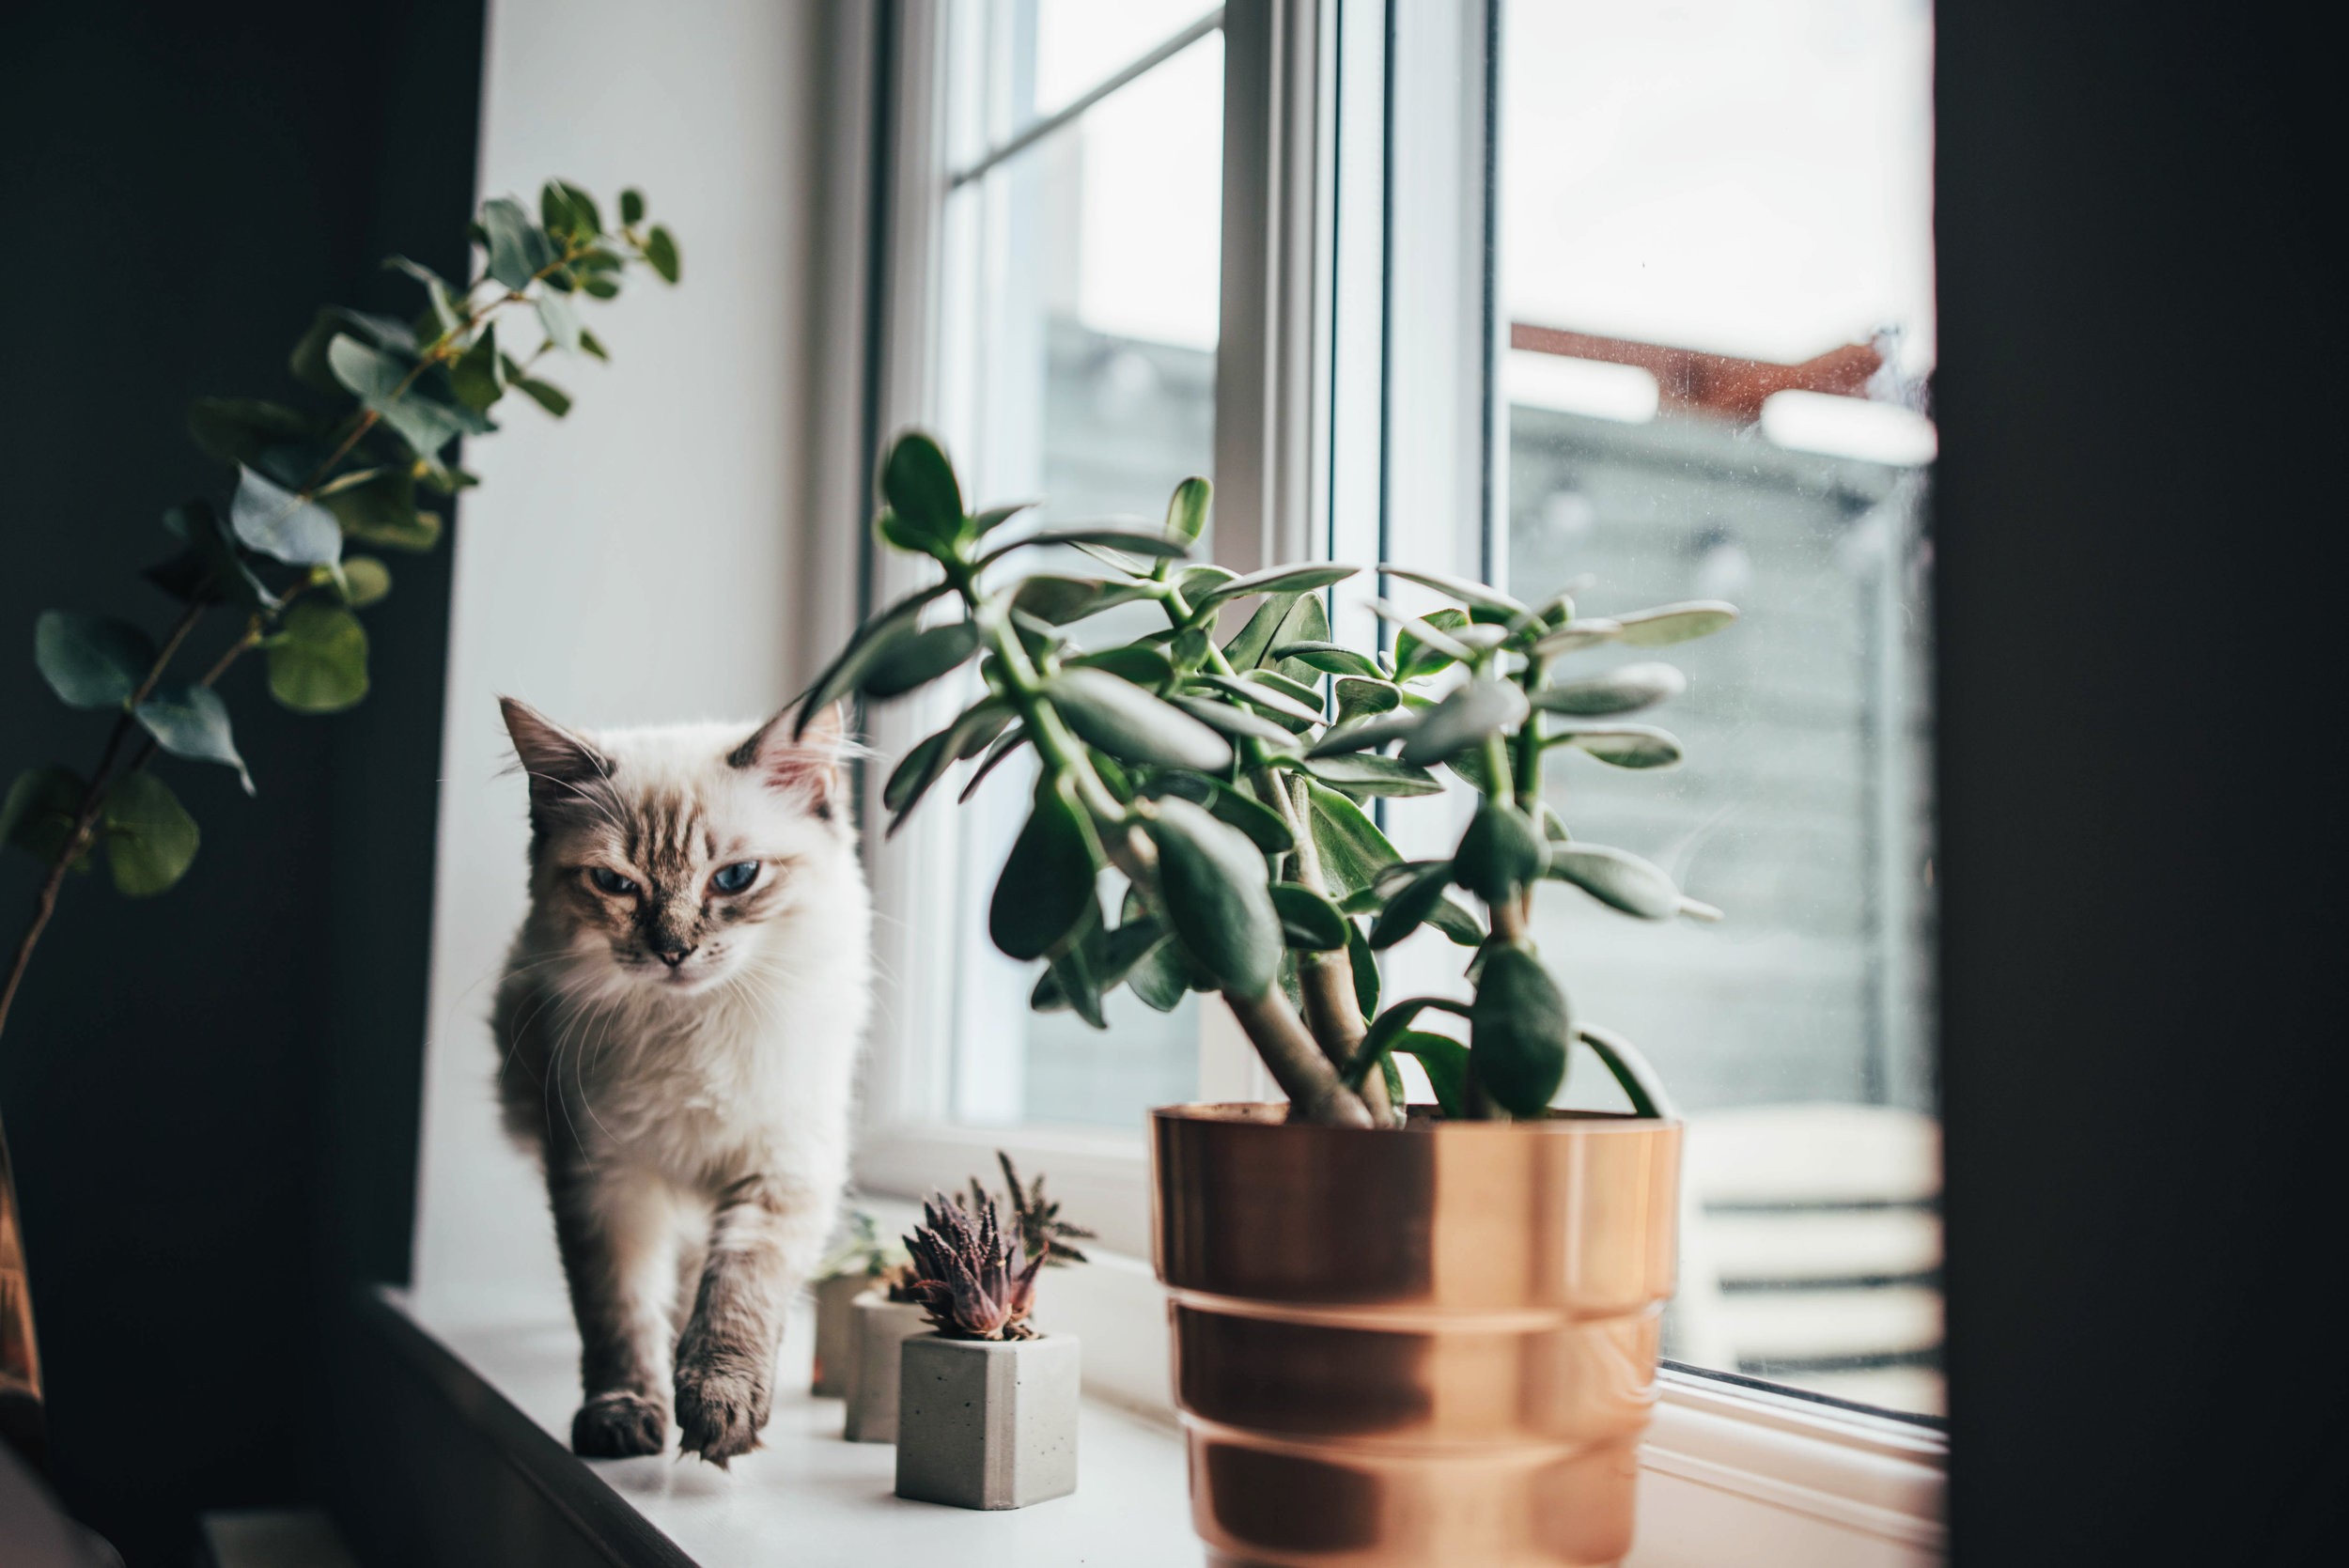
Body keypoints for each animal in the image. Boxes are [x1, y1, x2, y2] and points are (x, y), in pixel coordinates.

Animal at [495, 690, 874, 1465]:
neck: (690, 1031)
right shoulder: (604, 1184)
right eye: (616, 883)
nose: (673, 950)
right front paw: (624, 1415)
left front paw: (718, 1407)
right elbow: (616, 1317)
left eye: (734, 877)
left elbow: (735, 1297)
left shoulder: (777, 1173)